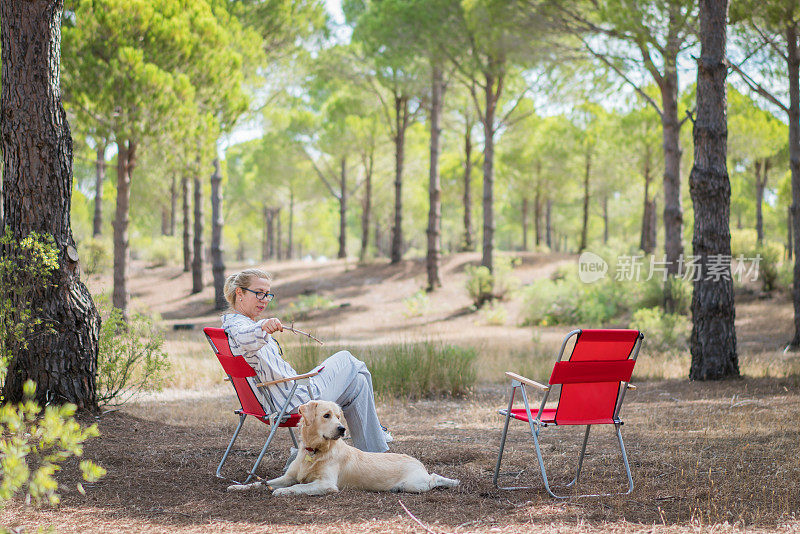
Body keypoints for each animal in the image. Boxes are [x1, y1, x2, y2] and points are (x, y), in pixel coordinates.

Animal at [228, 400, 460, 496]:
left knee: (434, 477)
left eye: (339, 416)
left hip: (415, 484)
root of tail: (418, 462)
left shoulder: (326, 484)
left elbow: (299, 487)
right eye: (326, 415)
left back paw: (453, 481)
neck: (315, 452)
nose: (341, 429)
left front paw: (284, 492)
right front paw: (239, 487)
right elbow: (261, 482)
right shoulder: (288, 476)